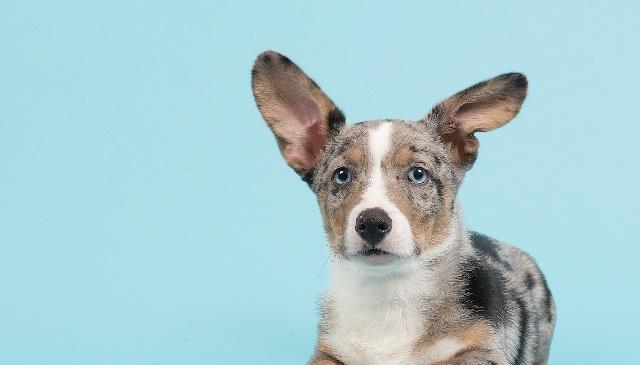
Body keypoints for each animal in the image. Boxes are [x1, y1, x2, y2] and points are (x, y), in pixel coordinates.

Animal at [250, 49, 556, 364]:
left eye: (418, 174)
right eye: (342, 175)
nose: (372, 223)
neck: (389, 293)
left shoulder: (481, 349)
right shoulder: (328, 350)